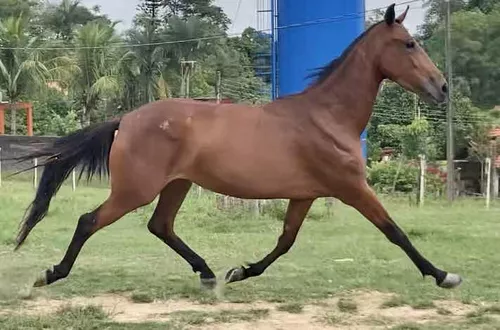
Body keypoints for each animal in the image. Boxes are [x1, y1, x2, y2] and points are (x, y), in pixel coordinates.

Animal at [10, 3, 460, 290]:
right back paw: (51, 274)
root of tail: (127, 119)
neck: (328, 117)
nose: (442, 87)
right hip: (136, 189)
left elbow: (285, 241)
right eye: (409, 44)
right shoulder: (351, 187)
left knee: (161, 226)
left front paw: (241, 272)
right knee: (89, 221)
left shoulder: (305, 195)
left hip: (176, 185)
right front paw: (443, 275)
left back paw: (209, 273)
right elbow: (395, 231)